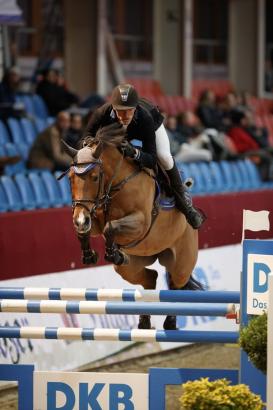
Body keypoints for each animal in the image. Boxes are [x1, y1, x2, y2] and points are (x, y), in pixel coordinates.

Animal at [62, 124, 202, 330]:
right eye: (70, 178)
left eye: (95, 177)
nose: (80, 217)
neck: (115, 184)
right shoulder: (93, 214)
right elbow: (89, 229)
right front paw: (89, 253)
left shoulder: (141, 222)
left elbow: (110, 228)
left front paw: (112, 253)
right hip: (131, 267)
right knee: (151, 278)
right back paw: (144, 321)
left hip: (181, 263)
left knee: (177, 285)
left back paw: (170, 322)